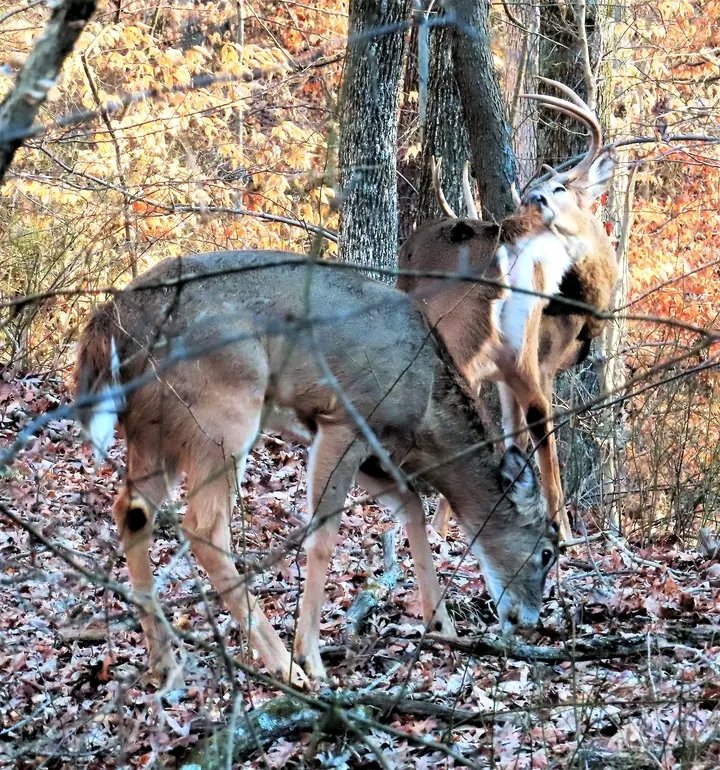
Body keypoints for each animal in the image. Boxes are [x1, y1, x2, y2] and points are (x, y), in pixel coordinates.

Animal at [74, 250, 556, 684]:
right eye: (548, 551)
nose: (529, 620)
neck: (425, 411)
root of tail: (112, 322)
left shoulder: (373, 452)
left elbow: (411, 505)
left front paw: (442, 627)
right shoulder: (345, 420)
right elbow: (323, 535)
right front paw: (311, 656)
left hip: (153, 431)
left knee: (132, 511)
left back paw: (166, 666)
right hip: (223, 409)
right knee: (203, 525)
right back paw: (285, 667)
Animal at [396, 75, 616, 536]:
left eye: (562, 187)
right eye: (540, 190)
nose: (534, 201)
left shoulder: (503, 373)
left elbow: (510, 436)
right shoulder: (535, 365)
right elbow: (539, 437)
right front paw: (563, 530)